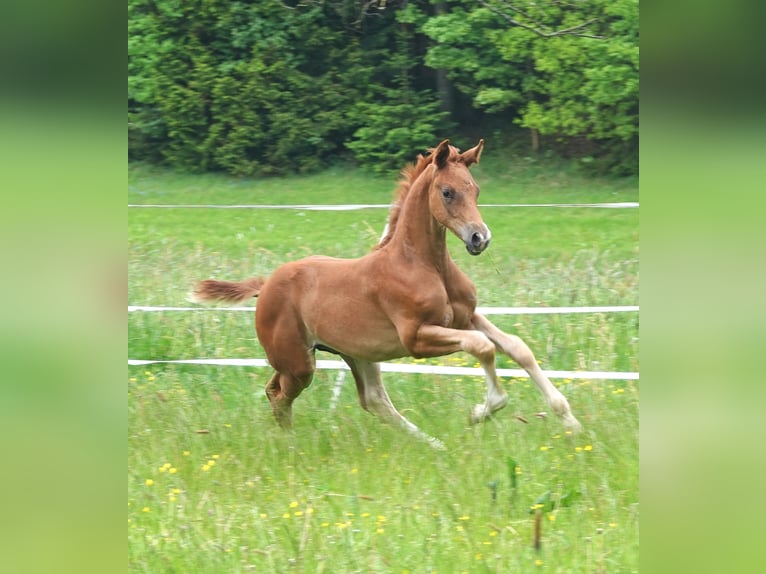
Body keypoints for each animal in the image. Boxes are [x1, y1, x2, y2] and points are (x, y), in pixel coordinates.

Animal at [194, 141, 584, 450]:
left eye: (475, 189)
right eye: (447, 192)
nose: (479, 238)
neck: (424, 264)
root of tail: (266, 284)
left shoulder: (466, 317)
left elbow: (518, 348)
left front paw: (570, 420)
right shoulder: (417, 338)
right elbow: (482, 347)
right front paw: (482, 411)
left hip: (358, 353)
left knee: (373, 400)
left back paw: (434, 445)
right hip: (299, 362)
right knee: (278, 394)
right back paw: (290, 445)